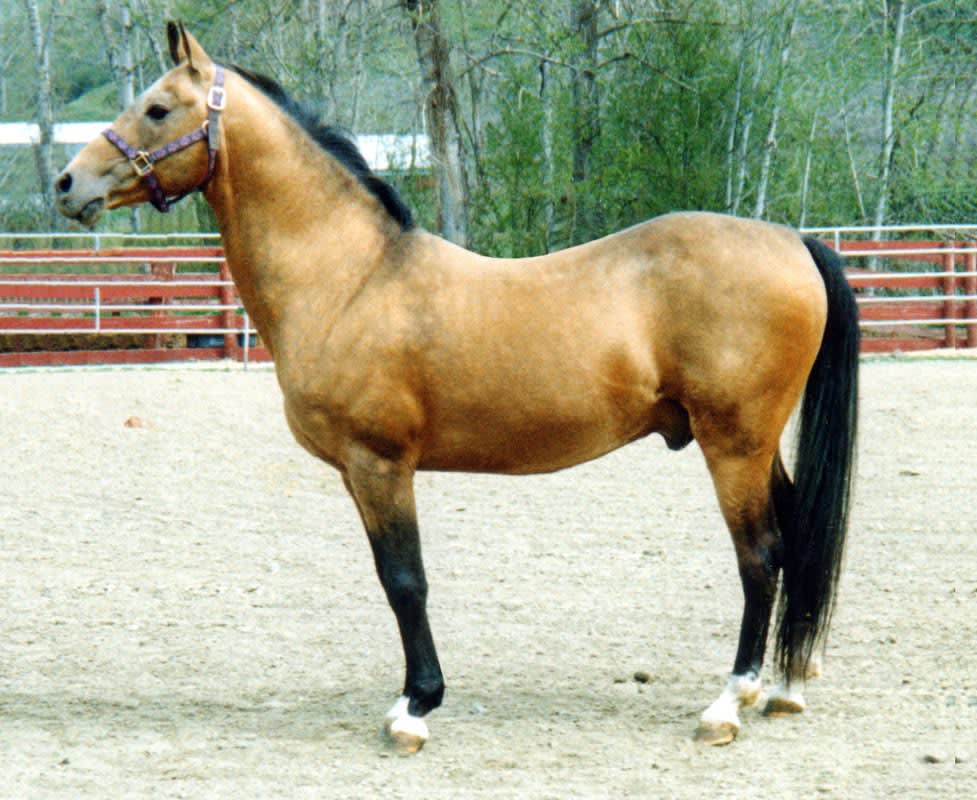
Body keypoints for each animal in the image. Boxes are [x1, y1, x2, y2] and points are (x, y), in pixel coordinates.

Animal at [54, 22, 859, 752]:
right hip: (755, 446)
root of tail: (792, 240)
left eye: (158, 108)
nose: (68, 184)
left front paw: (415, 708)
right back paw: (786, 685)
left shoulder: (380, 464)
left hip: (733, 445)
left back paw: (730, 703)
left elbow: (404, 580)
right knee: (797, 538)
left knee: (760, 556)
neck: (351, 277)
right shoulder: (357, 472)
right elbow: (393, 579)